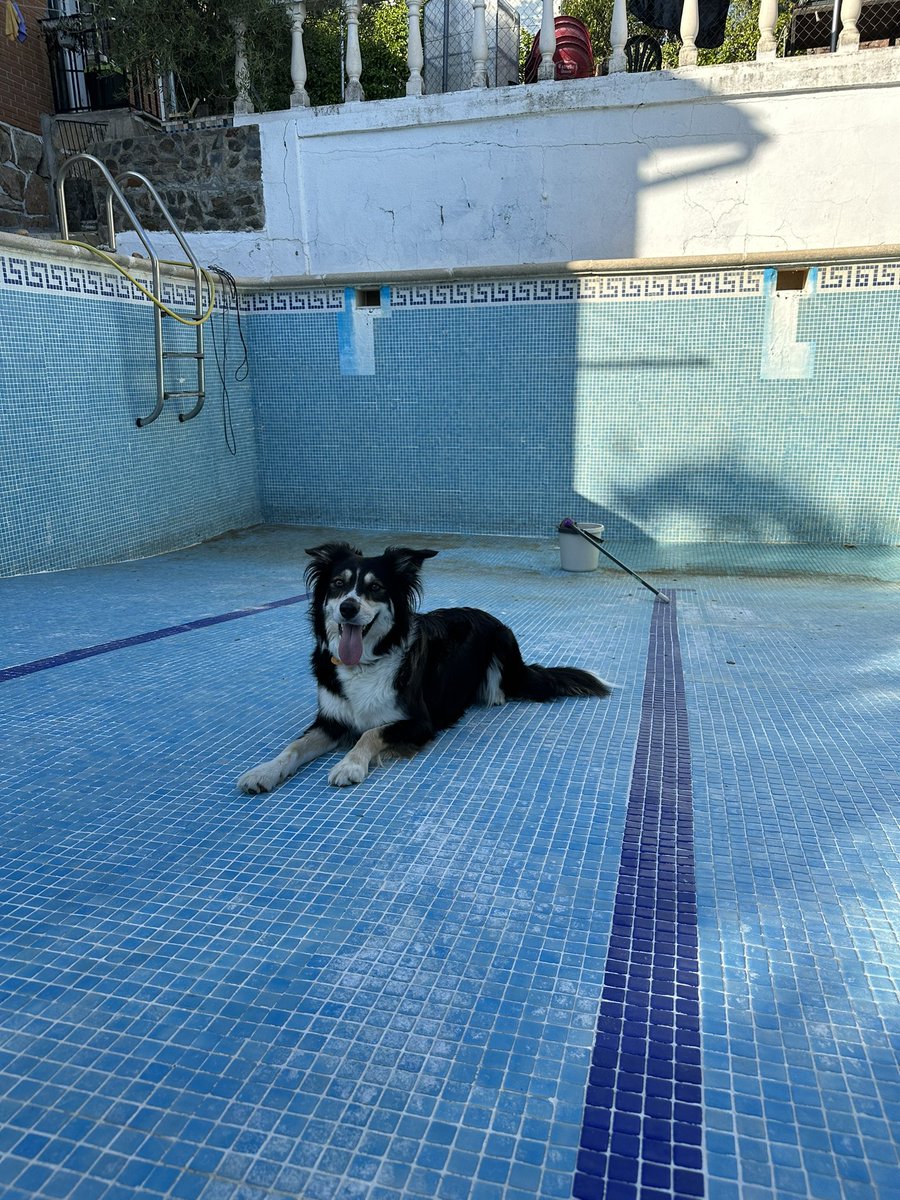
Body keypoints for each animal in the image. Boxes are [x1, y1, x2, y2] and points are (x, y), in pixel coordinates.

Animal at [236, 540, 619, 792]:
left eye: (376, 588)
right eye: (338, 585)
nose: (347, 608)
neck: (365, 663)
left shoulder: (420, 722)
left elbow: (372, 733)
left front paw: (350, 765)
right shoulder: (331, 719)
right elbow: (295, 746)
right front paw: (264, 771)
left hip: (501, 647)